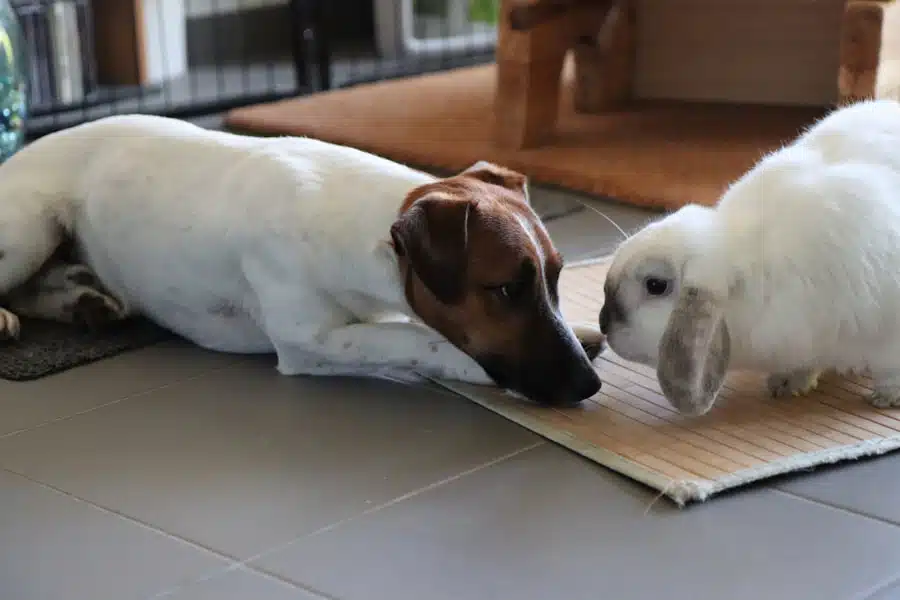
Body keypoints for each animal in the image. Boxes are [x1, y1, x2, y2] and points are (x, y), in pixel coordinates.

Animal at [598, 99, 900, 416]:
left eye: (656, 285)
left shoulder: (888, 331)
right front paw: (787, 383)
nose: (603, 323)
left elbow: (890, 369)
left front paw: (887, 396)